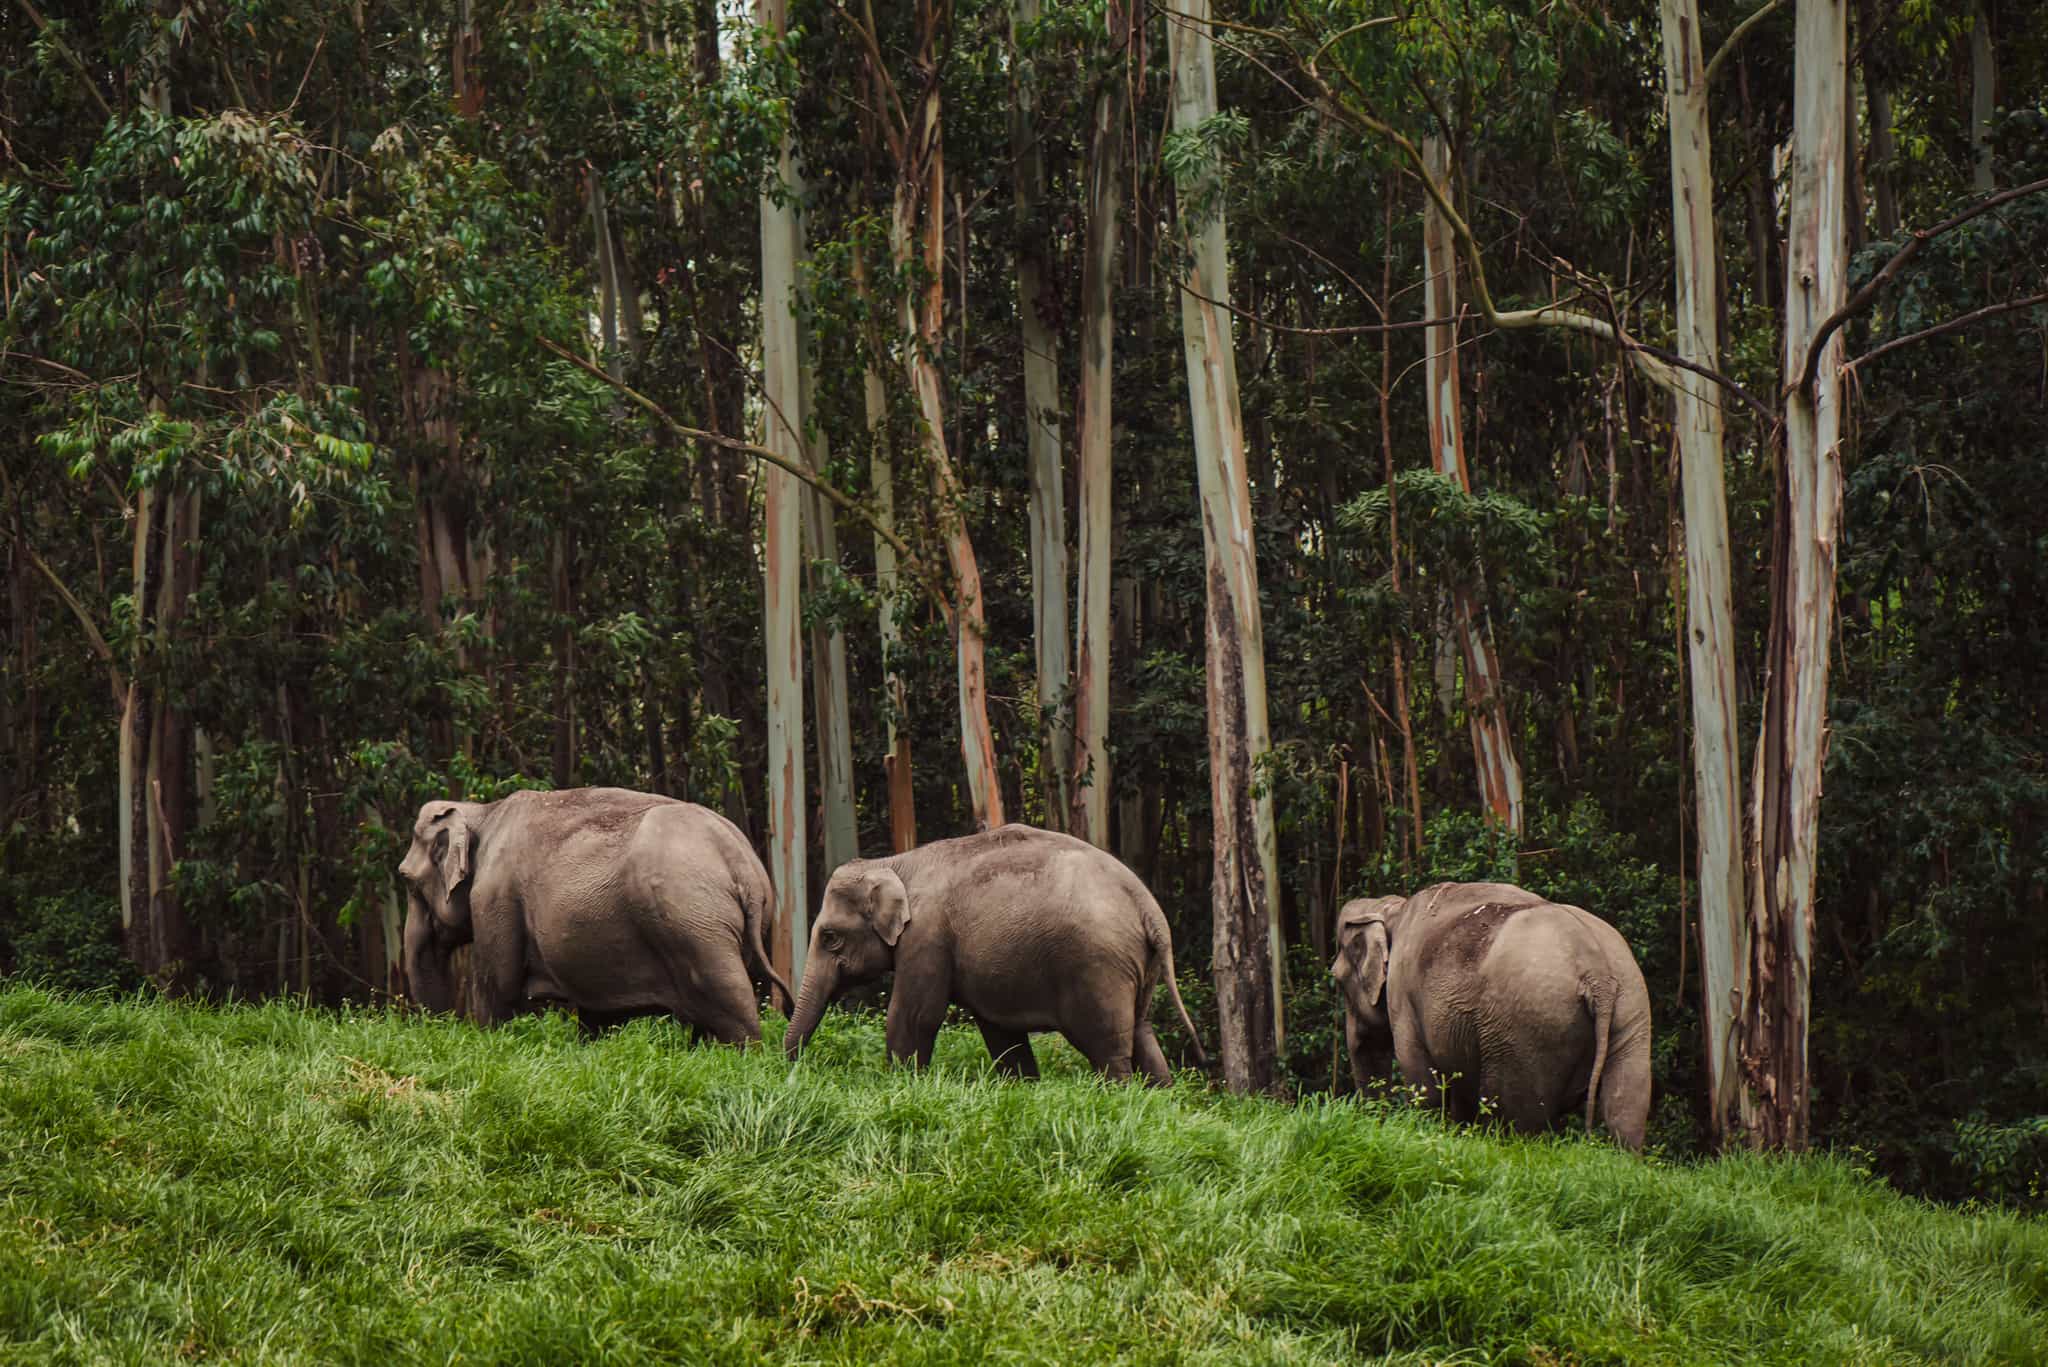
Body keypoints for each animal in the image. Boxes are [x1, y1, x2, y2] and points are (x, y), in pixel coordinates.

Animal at [397, 787, 793, 1044]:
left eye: (408, 882)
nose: (441, 1031)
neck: (484, 811)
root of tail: (741, 863)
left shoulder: (495, 898)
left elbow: (498, 991)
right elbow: (595, 1014)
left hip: (695, 923)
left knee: (730, 1002)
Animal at [782, 824, 1206, 1082]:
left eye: (830, 938)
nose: (791, 1069)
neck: (894, 863)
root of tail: (1148, 907)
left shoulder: (927, 937)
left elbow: (915, 1016)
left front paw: (901, 1082)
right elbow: (1000, 1031)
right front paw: (1023, 1086)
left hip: (1099, 968)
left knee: (1108, 1047)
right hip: (1137, 965)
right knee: (1142, 1032)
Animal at [1331, 881, 1652, 1150]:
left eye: (1336, 979)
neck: (1393, 908)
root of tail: (1597, 973)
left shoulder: (1403, 997)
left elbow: (1424, 1083)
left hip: (1526, 1027)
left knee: (1516, 1117)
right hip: (1631, 1007)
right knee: (1626, 1106)